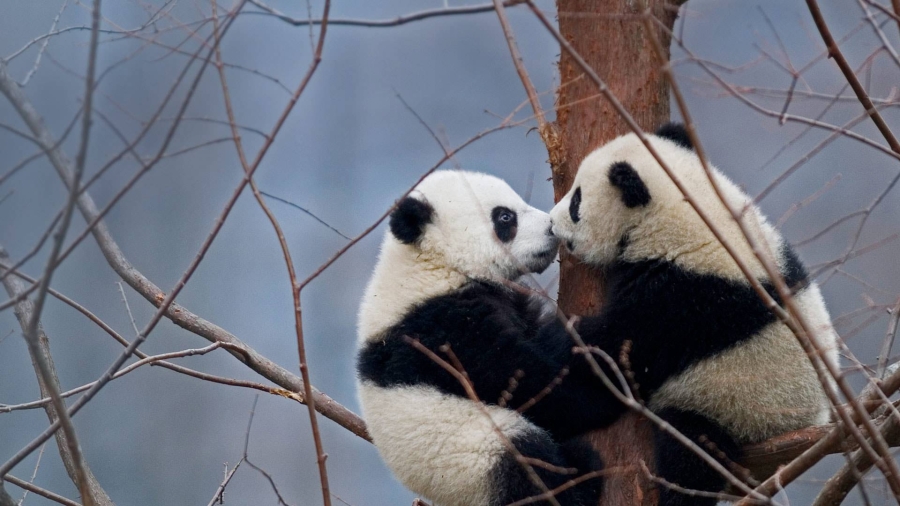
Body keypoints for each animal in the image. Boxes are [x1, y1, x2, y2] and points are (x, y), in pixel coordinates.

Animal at [356, 171, 608, 506]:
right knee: (526, 463)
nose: (551, 228)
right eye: (505, 217)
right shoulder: (442, 330)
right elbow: (525, 380)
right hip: (474, 457)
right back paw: (581, 476)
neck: (433, 265)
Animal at [544, 123, 840, 506]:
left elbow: (614, 349)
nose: (550, 222)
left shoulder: (684, 297)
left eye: (577, 201)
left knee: (692, 452)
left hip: (733, 409)